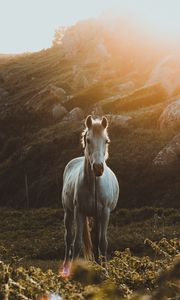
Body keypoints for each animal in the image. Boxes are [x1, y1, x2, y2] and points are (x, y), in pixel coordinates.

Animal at [62, 115, 119, 274]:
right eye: (88, 140)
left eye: (106, 141)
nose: (98, 168)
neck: (93, 185)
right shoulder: (79, 212)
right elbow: (77, 243)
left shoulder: (104, 213)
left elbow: (102, 242)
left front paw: (105, 271)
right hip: (68, 212)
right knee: (68, 238)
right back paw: (66, 267)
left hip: (96, 216)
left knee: (94, 239)